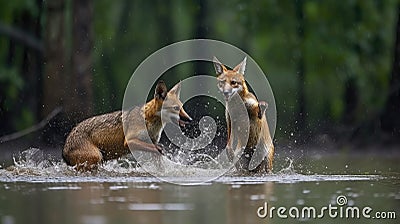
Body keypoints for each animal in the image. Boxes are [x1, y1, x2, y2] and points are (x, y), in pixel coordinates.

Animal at [62, 81, 192, 171]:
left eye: (182, 107)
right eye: (176, 108)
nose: (190, 119)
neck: (149, 121)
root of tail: (64, 150)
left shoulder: (153, 142)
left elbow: (157, 155)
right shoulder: (129, 141)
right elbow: (157, 148)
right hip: (97, 157)